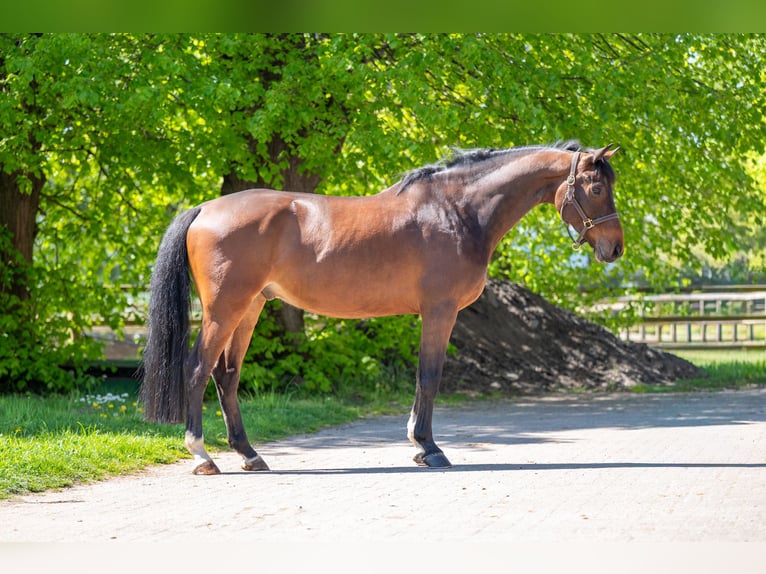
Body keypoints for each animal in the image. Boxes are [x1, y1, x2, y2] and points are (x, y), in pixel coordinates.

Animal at [139, 141, 623, 474]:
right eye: (597, 187)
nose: (615, 248)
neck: (456, 211)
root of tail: (205, 209)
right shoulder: (440, 311)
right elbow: (429, 376)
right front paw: (428, 447)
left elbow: (423, 377)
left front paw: (419, 445)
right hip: (225, 309)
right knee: (197, 370)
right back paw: (202, 456)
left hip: (251, 308)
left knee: (227, 375)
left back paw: (249, 454)